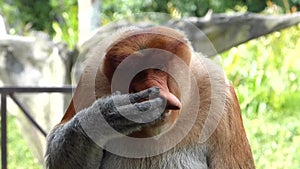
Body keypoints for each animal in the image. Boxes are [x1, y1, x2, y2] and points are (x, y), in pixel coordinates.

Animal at [45, 25, 255, 168]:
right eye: (132, 73)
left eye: (158, 68)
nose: (153, 89)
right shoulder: (90, 81)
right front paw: (111, 113)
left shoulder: (219, 94)